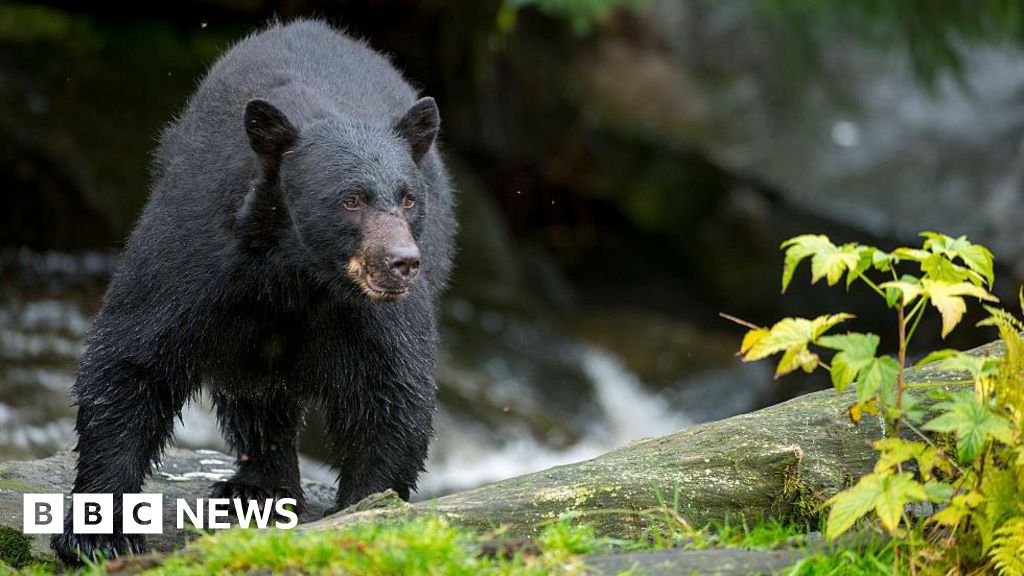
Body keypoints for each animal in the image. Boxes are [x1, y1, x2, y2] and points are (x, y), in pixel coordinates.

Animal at [54, 19, 454, 561]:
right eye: (350, 199)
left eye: (408, 198)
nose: (402, 263)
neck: (296, 273)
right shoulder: (198, 256)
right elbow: (133, 359)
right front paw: (101, 536)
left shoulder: (372, 313)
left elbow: (391, 391)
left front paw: (366, 508)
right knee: (253, 392)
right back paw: (257, 487)